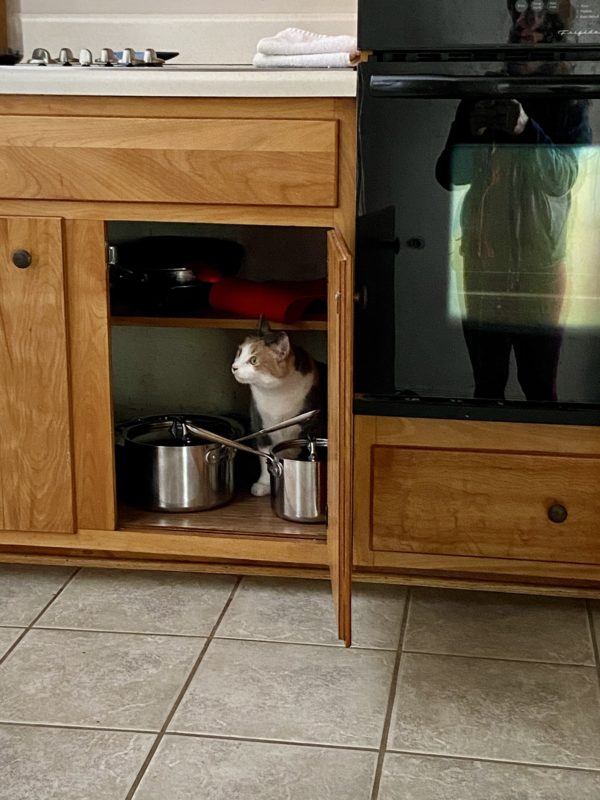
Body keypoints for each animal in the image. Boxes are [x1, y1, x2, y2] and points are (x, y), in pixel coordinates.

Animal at [231, 318, 326, 494]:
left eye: (253, 360)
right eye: (240, 352)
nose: (234, 367)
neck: (276, 395)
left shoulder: (310, 427)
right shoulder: (261, 426)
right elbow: (264, 456)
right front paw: (263, 485)